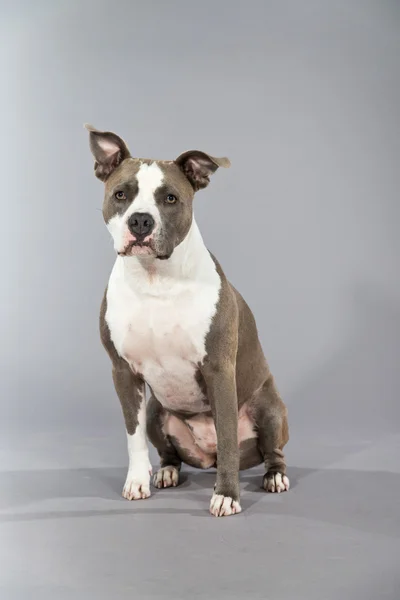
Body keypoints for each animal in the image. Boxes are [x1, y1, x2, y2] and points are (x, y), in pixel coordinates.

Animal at [86, 125, 290, 516]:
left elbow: (226, 436)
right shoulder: (123, 372)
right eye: (121, 195)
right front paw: (136, 481)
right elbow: (133, 437)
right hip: (156, 411)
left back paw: (273, 476)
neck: (155, 279)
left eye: (170, 198)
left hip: (269, 407)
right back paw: (166, 472)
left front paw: (227, 495)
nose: (140, 220)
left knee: (270, 451)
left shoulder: (218, 369)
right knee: (168, 451)